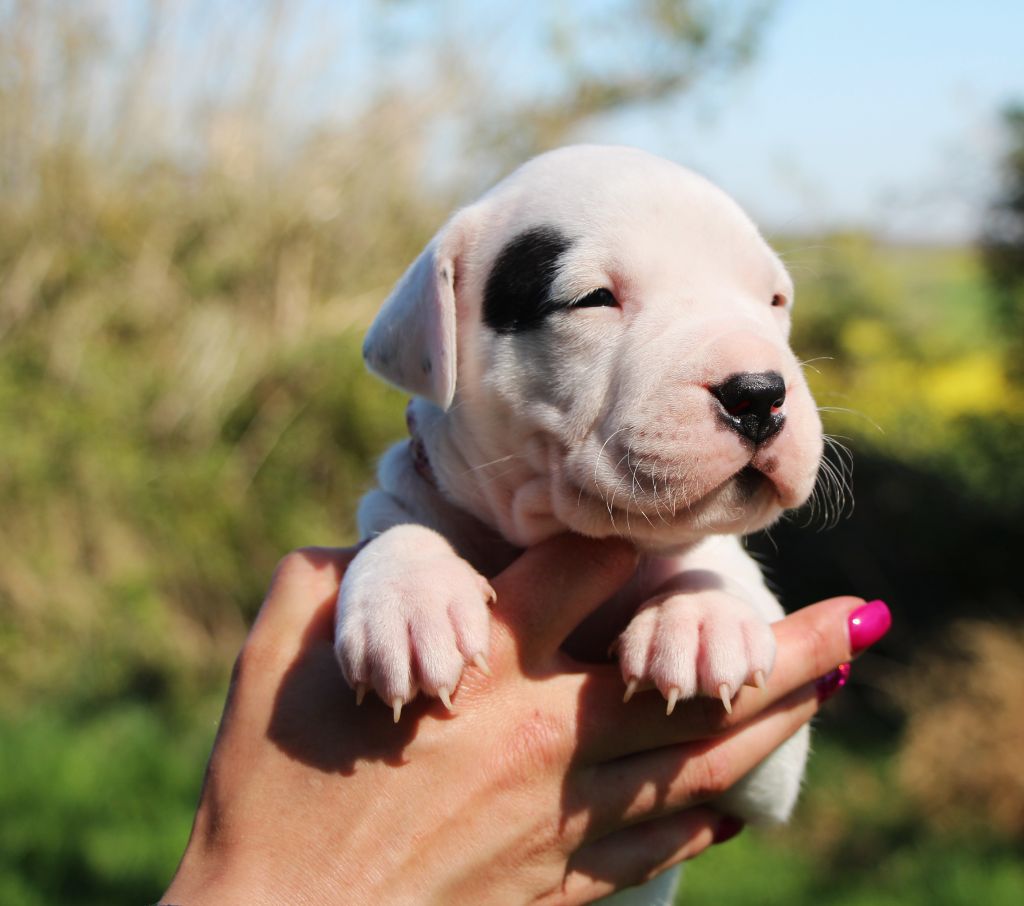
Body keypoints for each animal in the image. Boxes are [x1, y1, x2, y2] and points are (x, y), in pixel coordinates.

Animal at [334, 145, 824, 903]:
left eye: (774, 302)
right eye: (594, 299)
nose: (761, 393)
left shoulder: (765, 766)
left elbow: (718, 563)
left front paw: (702, 616)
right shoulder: (411, 496)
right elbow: (398, 528)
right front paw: (410, 601)